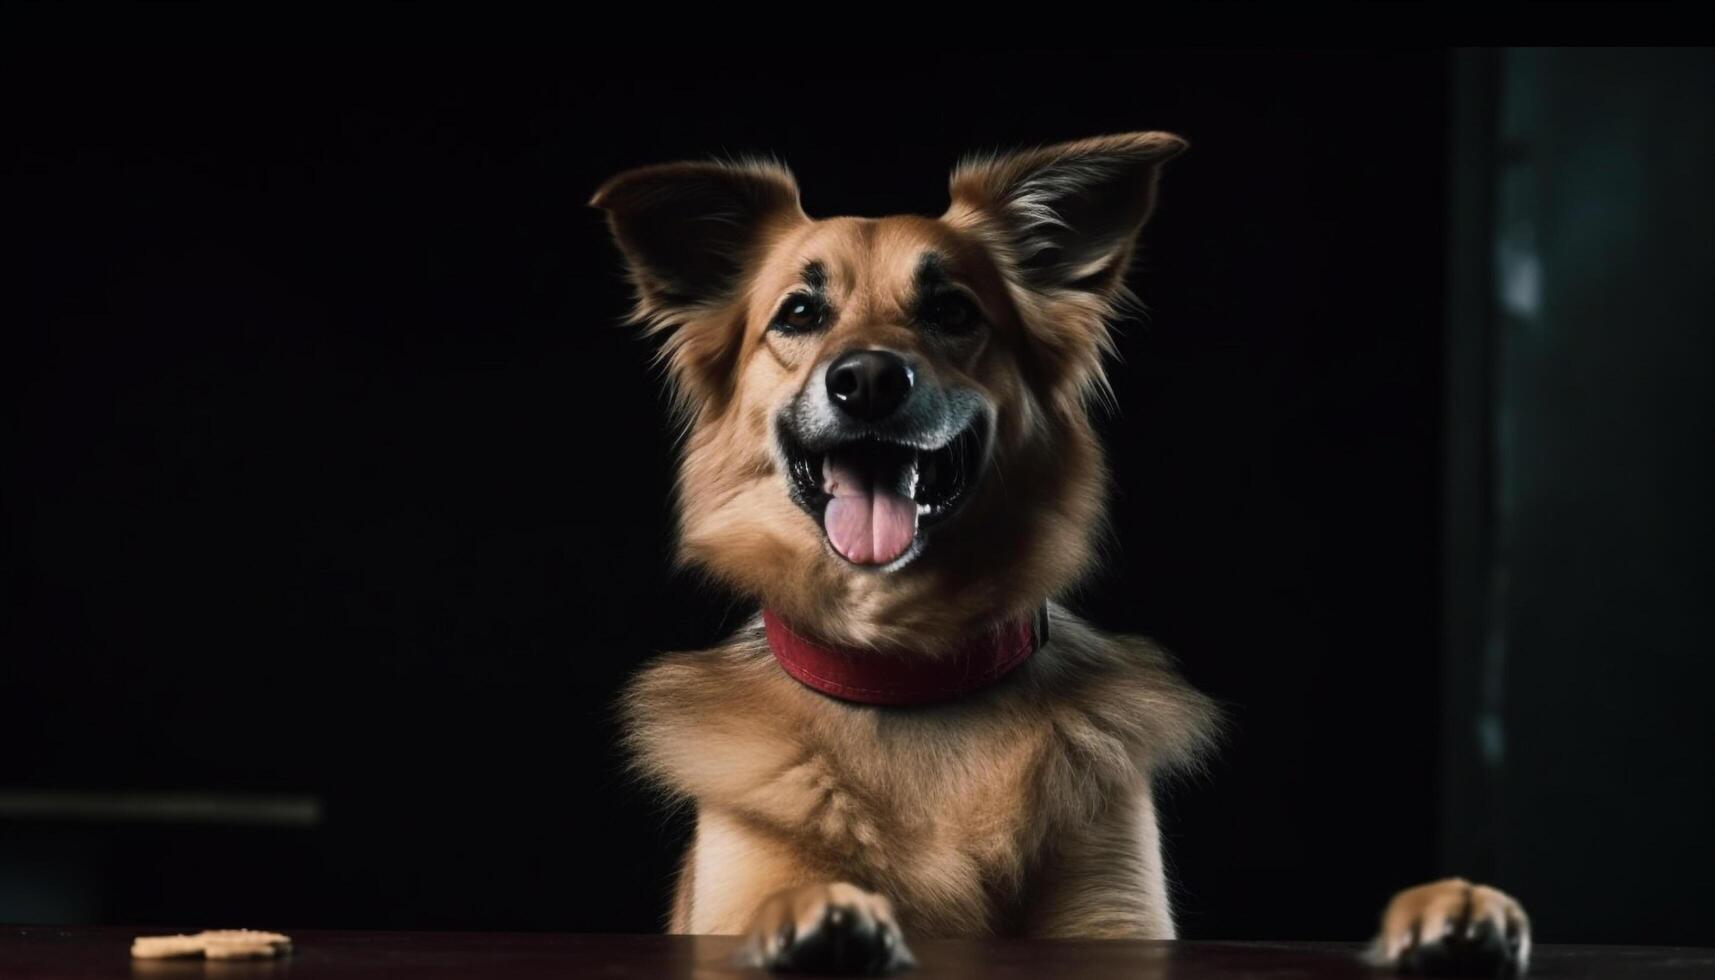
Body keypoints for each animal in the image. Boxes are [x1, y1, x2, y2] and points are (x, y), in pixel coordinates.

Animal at [596, 133, 1536, 974]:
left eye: (952, 310)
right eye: (798, 314)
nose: (866, 381)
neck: (909, 674)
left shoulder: (1116, 917)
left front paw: (1443, 914)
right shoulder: (736, 885)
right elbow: (777, 899)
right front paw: (818, 915)